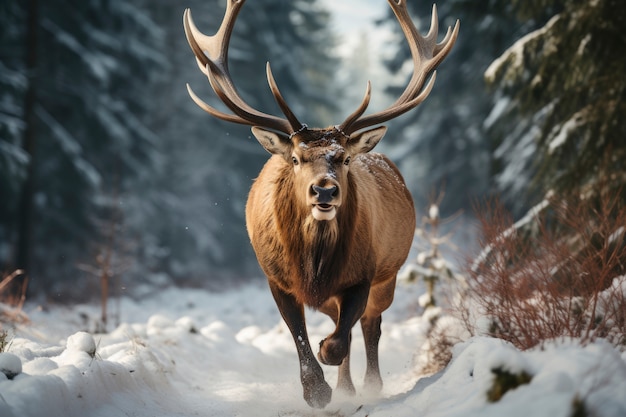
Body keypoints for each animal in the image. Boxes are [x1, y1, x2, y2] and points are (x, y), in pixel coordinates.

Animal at [183, 0, 456, 408]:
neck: (313, 264)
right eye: (296, 159)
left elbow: (340, 340)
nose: (324, 191)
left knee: (369, 325)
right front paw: (317, 391)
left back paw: (367, 384)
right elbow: (300, 335)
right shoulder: (276, 278)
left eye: (344, 158)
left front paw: (335, 372)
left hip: (388, 276)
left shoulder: (363, 273)